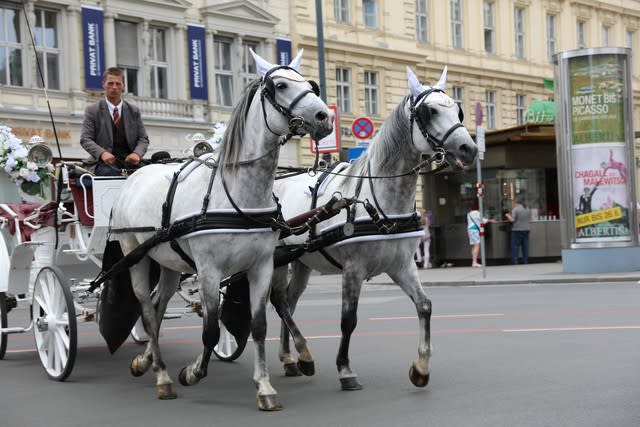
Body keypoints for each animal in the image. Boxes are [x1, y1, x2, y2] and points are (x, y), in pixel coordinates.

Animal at [107, 49, 332, 410]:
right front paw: (192, 372)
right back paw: (163, 376)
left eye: (310, 84)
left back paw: (147, 361)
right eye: (281, 85)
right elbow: (211, 329)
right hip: (135, 255)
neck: (238, 194)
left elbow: (258, 325)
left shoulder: (261, 266)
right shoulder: (210, 271)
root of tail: (135, 174)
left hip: (169, 262)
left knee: (157, 305)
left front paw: (264, 386)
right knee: (146, 308)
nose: (325, 117)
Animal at [269, 66, 477, 391]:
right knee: (279, 301)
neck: (380, 201)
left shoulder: (401, 265)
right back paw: (302, 355)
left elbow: (425, 305)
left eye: (458, 111)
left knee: (289, 302)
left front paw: (421, 366)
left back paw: (292, 358)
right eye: (429, 112)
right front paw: (345, 370)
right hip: (277, 259)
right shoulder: (353, 269)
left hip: (302, 261)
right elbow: (348, 320)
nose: (469, 148)